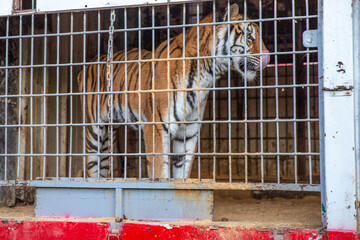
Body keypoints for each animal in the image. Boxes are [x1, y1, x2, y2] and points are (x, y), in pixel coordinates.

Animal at [78, 3, 270, 180]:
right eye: (249, 36)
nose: (268, 55)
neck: (206, 73)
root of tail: (89, 63)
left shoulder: (189, 132)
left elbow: (182, 174)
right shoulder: (156, 126)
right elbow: (159, 171)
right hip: (94, 131)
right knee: (92, 166)